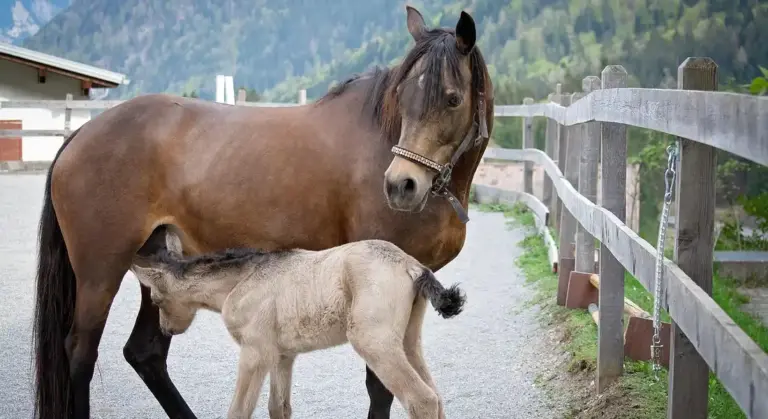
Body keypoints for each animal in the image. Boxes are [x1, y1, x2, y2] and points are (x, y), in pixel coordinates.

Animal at [130, 227, 466, 419]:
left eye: (156, 300)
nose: (167, 329)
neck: (241, 280)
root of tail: (412, 265)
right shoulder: (282, 356)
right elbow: (278, 407)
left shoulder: (255, 353)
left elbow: (239, 411)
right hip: (407, 342)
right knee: (435, 397)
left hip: (373, 342)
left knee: (421, 399)